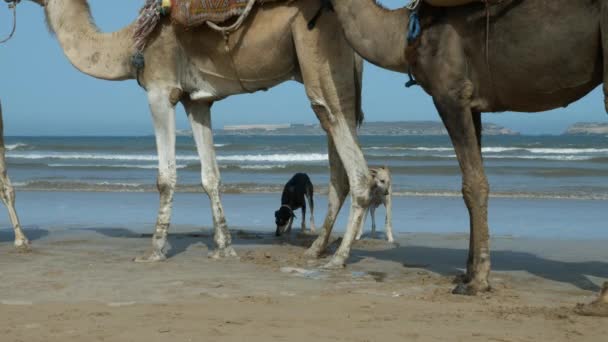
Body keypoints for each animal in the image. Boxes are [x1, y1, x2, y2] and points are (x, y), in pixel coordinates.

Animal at [34, 0, 376, 264]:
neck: (130, 43)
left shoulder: (160, 89)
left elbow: (165, 177)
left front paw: (154, 251)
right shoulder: (197, 100)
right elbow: (211, 177)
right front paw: (223, 248)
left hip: (316, 48)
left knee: (350, 158)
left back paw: (338, 257)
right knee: (339, 160)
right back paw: (317, 249)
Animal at [314, 0, 608, 312]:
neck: (405, 35)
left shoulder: (450, 93)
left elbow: (473, 184)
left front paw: (477, 282)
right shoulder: (472, 103)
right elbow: (474, 179)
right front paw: (467, 273)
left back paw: (600, 300)